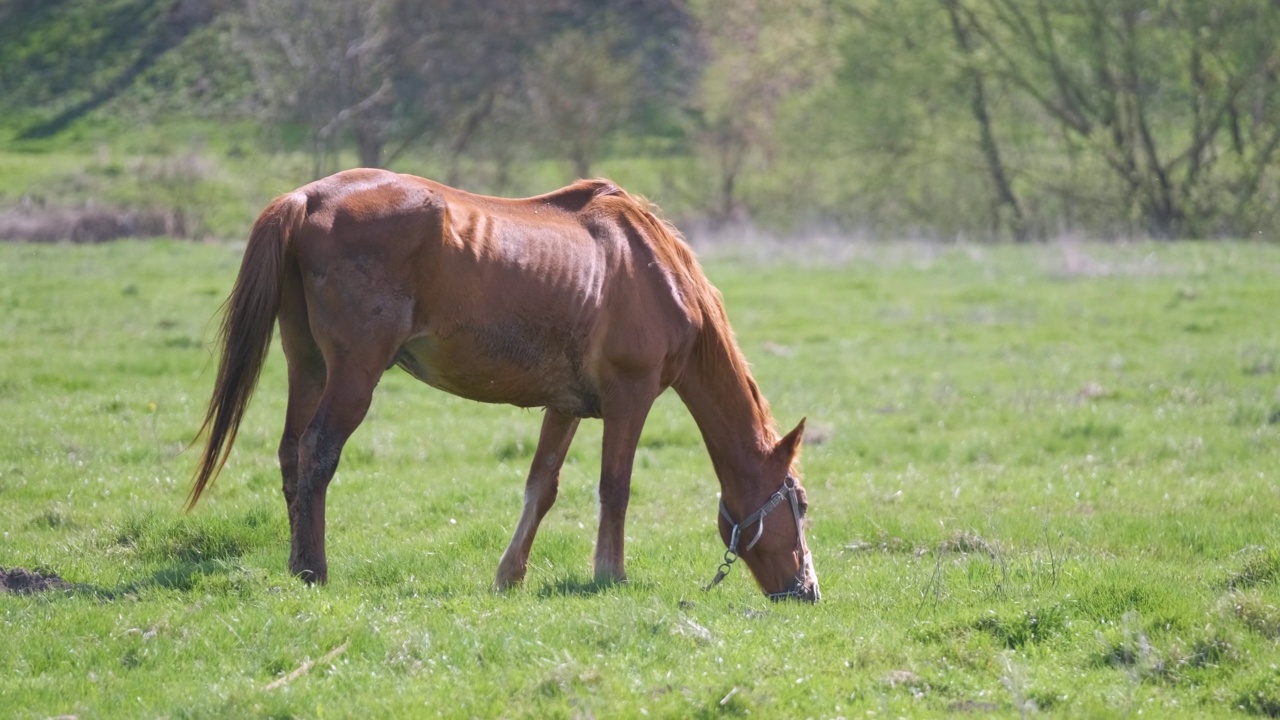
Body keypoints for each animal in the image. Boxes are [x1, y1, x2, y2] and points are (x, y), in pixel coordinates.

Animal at [189, 165, 819, 597]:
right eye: (801, 504)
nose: (807, 590)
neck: (652, 267)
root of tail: (307, 198)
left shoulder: (566, 407)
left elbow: (542, 488)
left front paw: (509, 575)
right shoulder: (630, 398)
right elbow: (615, 488)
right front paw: (609, 573)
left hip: (308, 366)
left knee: (291, 452)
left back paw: (298, 560)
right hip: (353, 374)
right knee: (317, 452)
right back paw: (313, 568)